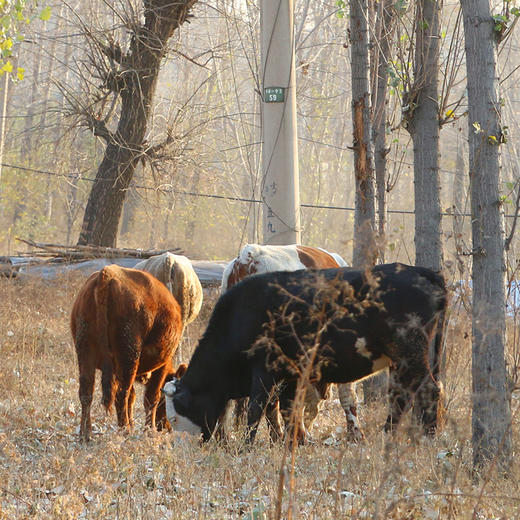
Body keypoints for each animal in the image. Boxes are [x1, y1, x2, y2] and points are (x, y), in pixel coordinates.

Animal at [69, 266, 183, 440]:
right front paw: (149, 430)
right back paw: (125, 431)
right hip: (128, 357)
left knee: (86, 393)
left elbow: (133, 397)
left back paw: (85, 434)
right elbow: (151, 397)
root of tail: (107, 273)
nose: (168, 428)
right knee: (121, 395)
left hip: (86, 352)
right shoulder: (161, 367)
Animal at [164, 264, 446, 442]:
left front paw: (246, 447)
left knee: (429, 389)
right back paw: (389, 435)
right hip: (402, 361)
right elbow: (288, 410)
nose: (184, 451)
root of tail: (418, 271)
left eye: (176, 418)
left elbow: (257, 410)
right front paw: (293, 442)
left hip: (410, 353)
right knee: (402, 396)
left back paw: (427, 438)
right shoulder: (290, 375)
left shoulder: (264, 372)